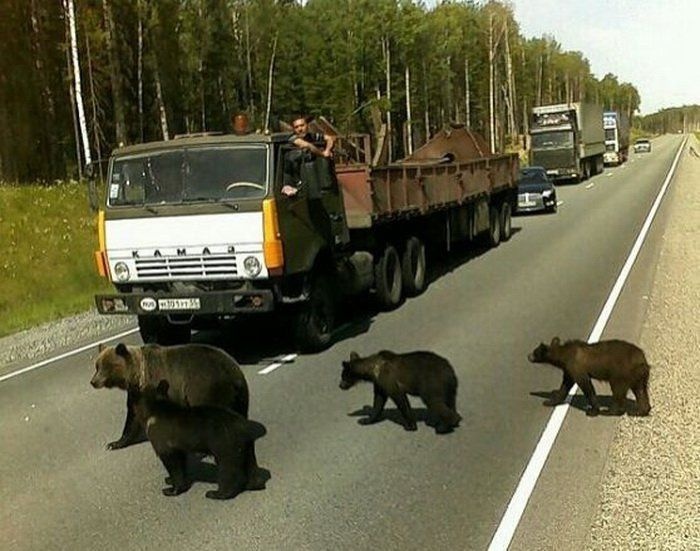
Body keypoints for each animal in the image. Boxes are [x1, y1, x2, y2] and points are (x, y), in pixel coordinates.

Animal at [89, 342, 249, 450]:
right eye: (97, 366)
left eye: (106, 366)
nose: (93, 381)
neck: (139, 375)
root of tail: (235, 371)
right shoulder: (135, 393)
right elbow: (132, 418)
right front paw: (114, 443)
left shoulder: (165, 386)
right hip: (239, 395)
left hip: (208, 387)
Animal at [134, 380, 268, 500]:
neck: (154, 410)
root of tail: (245, 425)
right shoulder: (178, 443)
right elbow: (180, 459)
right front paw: (169, 480)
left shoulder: (161, 436)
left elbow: (171, 461)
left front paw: (171, 490)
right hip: (244, 444)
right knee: (249, 462)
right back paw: (254, 484)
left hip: (225, 443)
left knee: (227, 467)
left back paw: (217, 493)